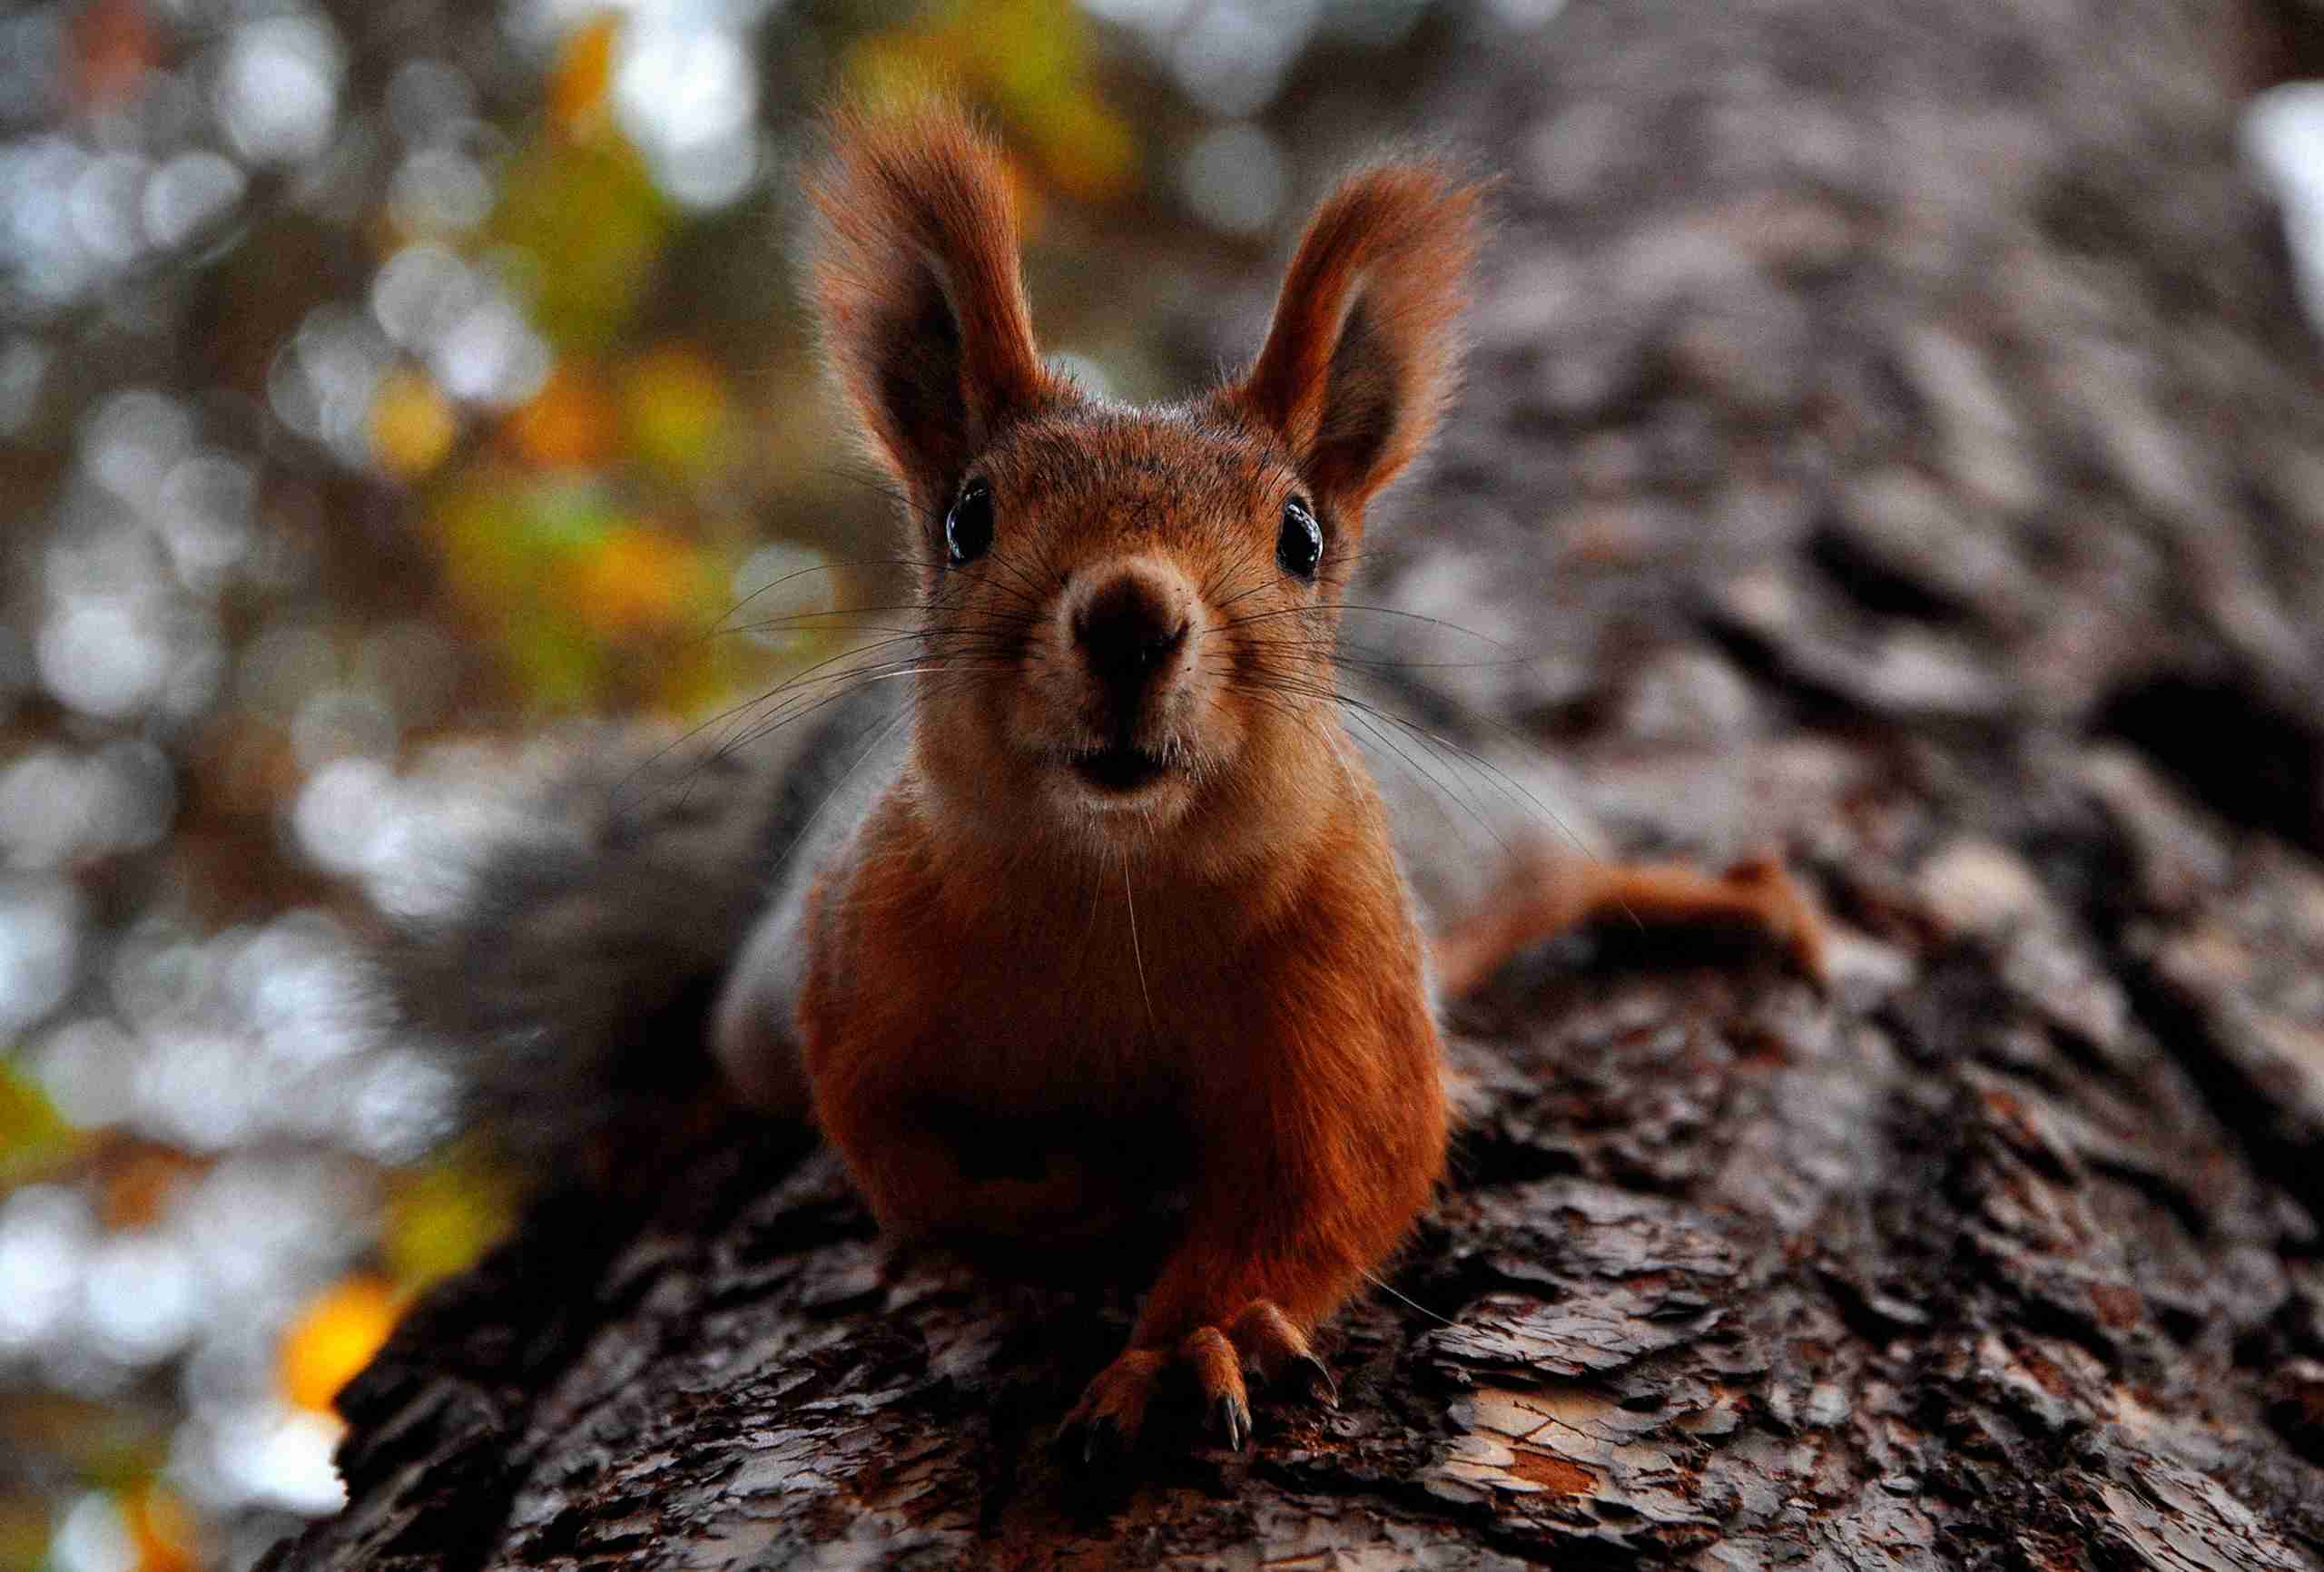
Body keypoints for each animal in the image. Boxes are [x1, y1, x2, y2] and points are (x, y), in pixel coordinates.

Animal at [384, 99, 1826, 1463]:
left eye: (1301, 536)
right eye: (968, 518)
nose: (1132, 614)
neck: (1114, 891)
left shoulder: (1352, 982)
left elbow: (1333, 1183)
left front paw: (1188, 1346)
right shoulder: (853, 973)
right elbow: (910, 1166)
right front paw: (1074, 1196)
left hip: (1480, 840)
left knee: (1573, 862)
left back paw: (1720, 902)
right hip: (762, 989)